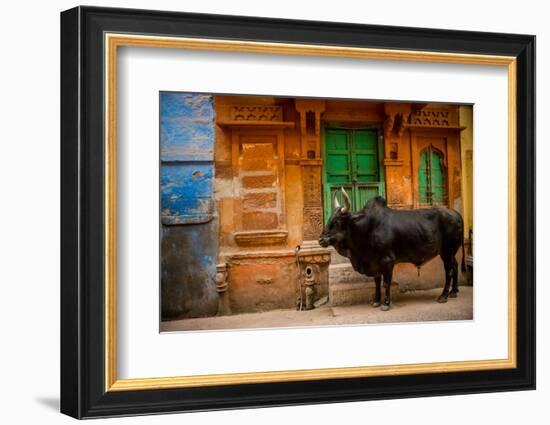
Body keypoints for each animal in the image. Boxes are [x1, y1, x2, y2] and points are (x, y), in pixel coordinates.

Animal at [320, 189, 466, 312]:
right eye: (329, 219)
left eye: (338, 221)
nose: (321, 239)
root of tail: (457, 214)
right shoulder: (375, 262)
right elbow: (377, 282)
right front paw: (376, 301)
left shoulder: (387, 261)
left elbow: (386, 283)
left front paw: (386, 304)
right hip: (450, 252)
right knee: (455, 265)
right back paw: (454, 291)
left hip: (447, 251)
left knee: (449, 270)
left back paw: (444, 296)